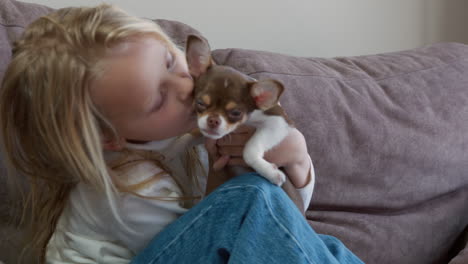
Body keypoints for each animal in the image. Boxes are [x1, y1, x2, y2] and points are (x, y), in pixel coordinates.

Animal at [185, 35, 294, 186]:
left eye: (236, 113)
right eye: (200, 103)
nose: (213, 120)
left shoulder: (279, 121)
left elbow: (249, 151)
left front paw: (269, 172)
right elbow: (187, 137)